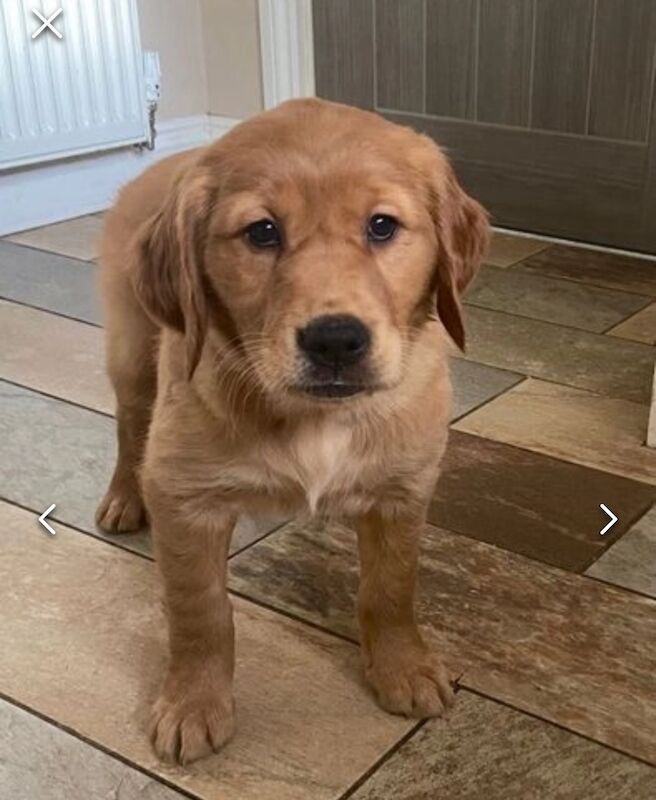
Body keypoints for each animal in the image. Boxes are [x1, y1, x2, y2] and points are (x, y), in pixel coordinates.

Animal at [96, 98, 486, 764]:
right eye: (262, 233)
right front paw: (193, 704)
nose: (335, 340)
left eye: (382, 226)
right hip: (131, 349)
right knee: (129, 427)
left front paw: (404, 668)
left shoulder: (403, 488)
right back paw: (123, 496)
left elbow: (391, 588)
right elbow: (200, 611)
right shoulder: (184, 496)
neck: (315, 417)